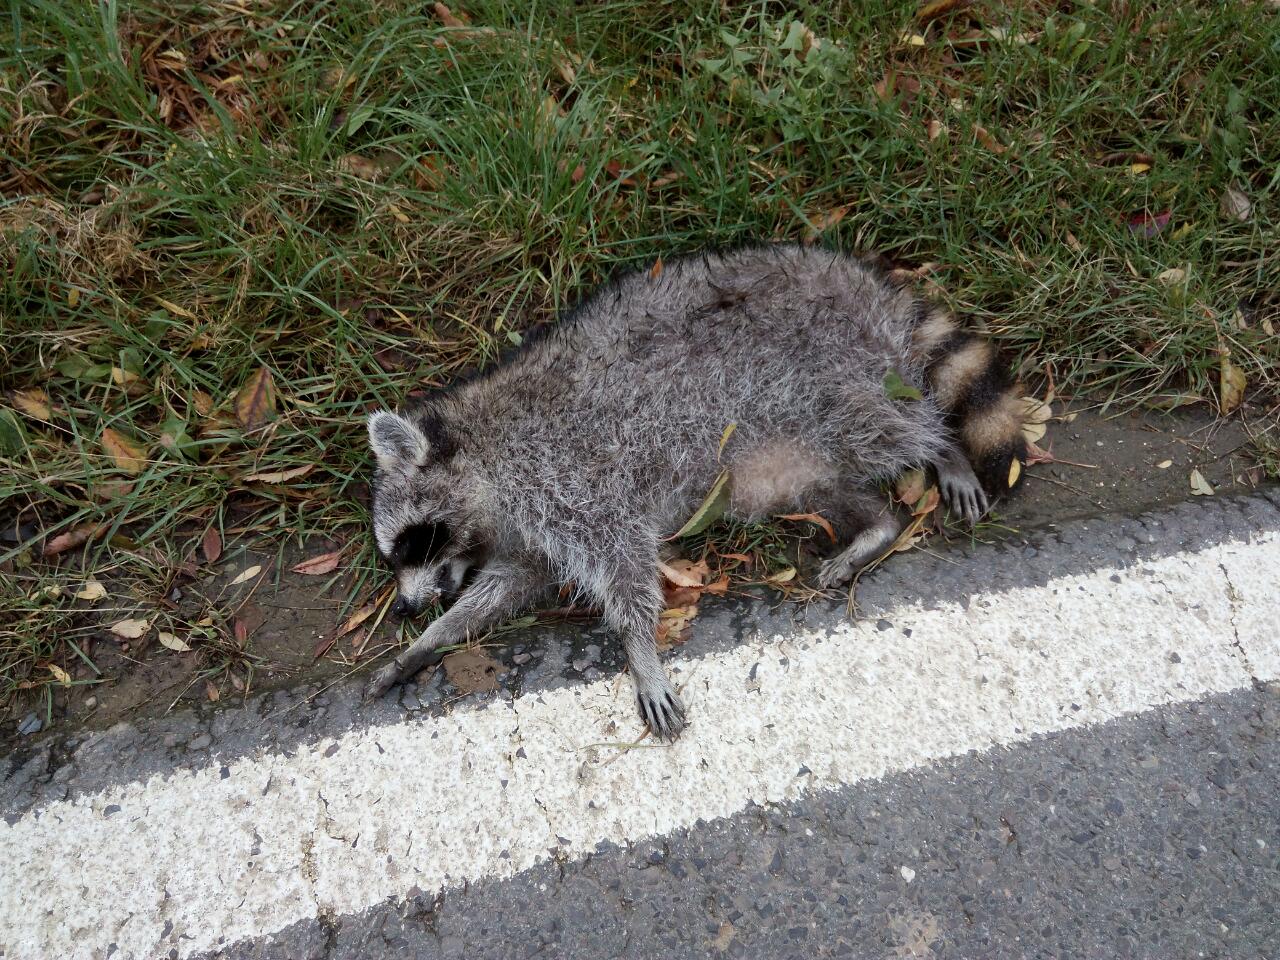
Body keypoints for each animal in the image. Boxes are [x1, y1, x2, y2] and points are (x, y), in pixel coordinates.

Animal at [363, 244, 1027, 738]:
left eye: (412, 543)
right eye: (393, 556)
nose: (406, 608)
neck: (483, 460)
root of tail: (849, 273)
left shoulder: (572, 474)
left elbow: (625, 564)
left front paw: (639, 650)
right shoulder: (531, 529)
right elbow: (508, 585)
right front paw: (432, 639)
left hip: (829, 362)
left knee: (886, 422)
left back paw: (941, 449)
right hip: (779, 450)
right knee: (818, 481)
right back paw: (878, 524)